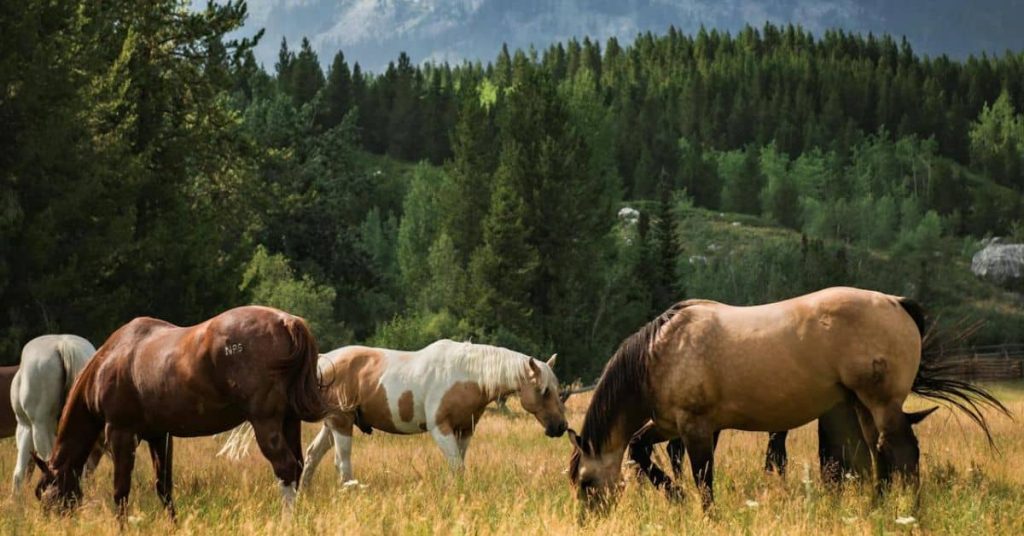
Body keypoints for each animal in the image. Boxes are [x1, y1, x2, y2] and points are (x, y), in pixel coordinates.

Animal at [32, 306, 328, 520]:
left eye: (48, 497)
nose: (51, 524)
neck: (111, 359)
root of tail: (287, 322)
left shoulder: (121, 433)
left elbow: (121, 491)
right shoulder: (160, 436)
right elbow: (164, 487)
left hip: (266, 424)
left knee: (286, 468)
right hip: (289, 422)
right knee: (298, 466)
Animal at [220, 340, 568, 485]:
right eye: (544, 391)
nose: (560, 428)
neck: (466, 373)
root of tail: (321, 363)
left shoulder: (464, 430)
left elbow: (460, 465)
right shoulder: (440, 429)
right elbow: (456, 465)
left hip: (331, 425)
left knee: (314, 455)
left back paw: (304, 493)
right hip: (341, 424)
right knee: (342, 462)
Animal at [568, 287, 1008, 512]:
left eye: (587, 483)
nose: (589, 520)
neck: (660, 351)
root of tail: (896, 303)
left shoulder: (696, 428)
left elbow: (703, 480)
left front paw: (703, 512)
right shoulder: (668, 425)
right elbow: (640, 449)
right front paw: (674, 495)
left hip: (881, 403)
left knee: (903, 451)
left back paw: (909, 510)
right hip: (863, 406)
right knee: (879, 451)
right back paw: (876, 507)